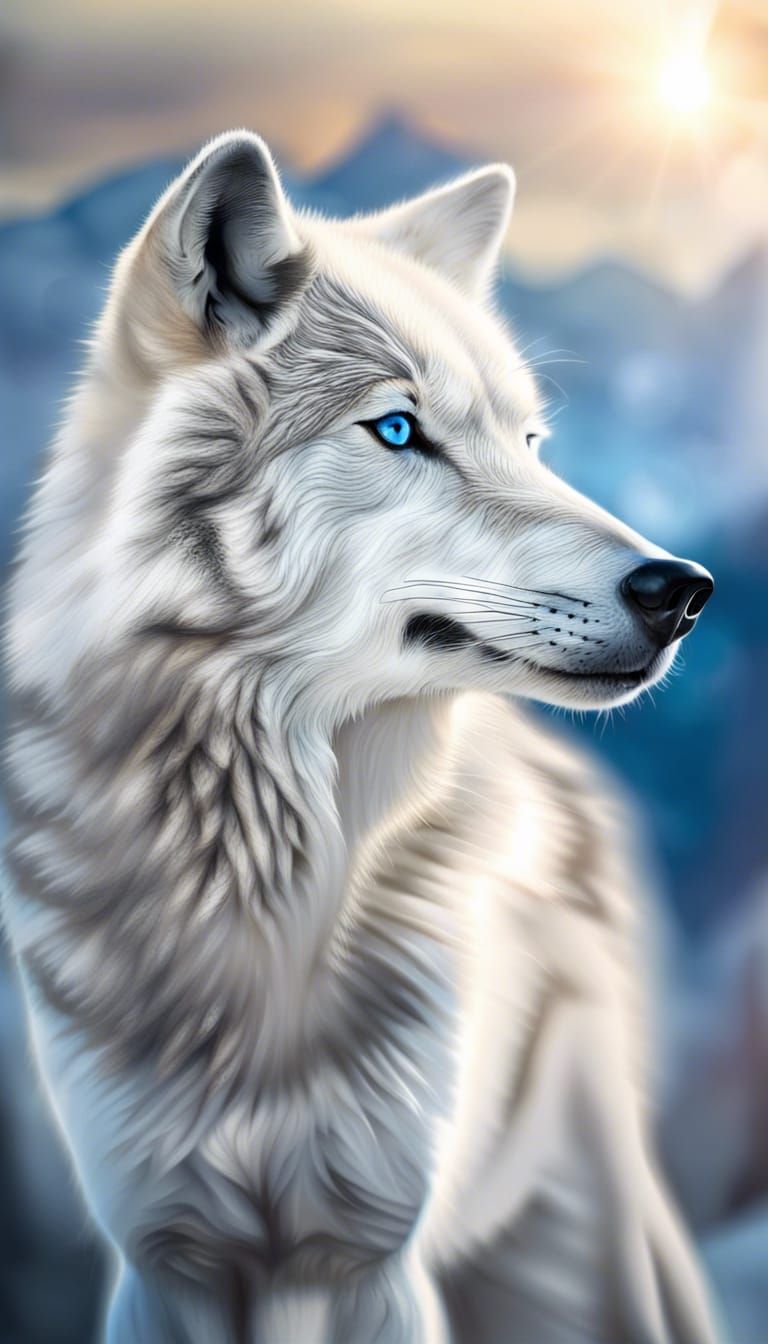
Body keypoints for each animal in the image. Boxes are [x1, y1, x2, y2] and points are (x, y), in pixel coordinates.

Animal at [3, 131, 720, 1343]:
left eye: (531, 442)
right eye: (397, 429)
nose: (682, 591)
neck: (266, 874)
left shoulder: (368, 1255)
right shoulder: (169, 1255)